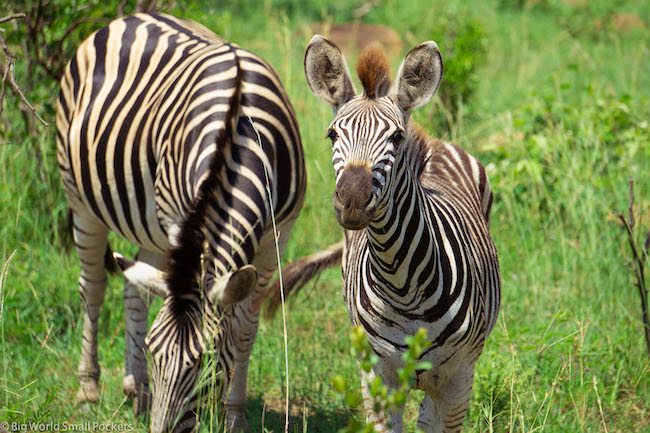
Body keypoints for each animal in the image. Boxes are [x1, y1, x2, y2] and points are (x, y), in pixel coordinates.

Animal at [55, 11, 304, 430]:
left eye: (204, 362)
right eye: (155, 353)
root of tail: (131, 17)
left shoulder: (278, 237)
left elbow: (244, 329)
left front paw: (234, 415)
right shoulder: (178, 220)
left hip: (149, 228)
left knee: (135, 289)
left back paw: (136, 390)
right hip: (81, 201)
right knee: (93, 288)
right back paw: (88, 391)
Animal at [268, 35, 502, 430]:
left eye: (395, 137)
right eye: (332, 134)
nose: (352, 200)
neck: (404, 283)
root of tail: (436, 143)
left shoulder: (459, 380)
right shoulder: (376, 375)